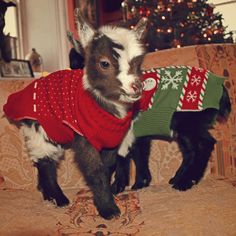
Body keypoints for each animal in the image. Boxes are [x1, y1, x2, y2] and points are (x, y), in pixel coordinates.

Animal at [2, 10, 148, 218]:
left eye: (138, 62)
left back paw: (48, 196)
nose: (137, 87)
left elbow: (108, 166)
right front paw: (108, 209)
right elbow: (95, 171)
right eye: (104, 63)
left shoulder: (111, 139)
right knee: (45, 162)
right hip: (41, 128)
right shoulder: (84, 137)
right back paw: (59, 199)